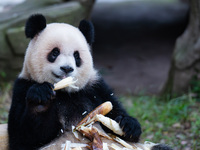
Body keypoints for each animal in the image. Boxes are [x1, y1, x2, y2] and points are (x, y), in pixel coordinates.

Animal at [7, 14, 172, 150]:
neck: (65, 92)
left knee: (161, 148)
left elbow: (118, 117)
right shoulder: (22, 87)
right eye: (54, 52)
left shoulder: (95, 87)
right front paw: (41, 99)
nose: (67, 68)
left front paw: (128, 125)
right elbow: (24, 138)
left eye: (76, 56)